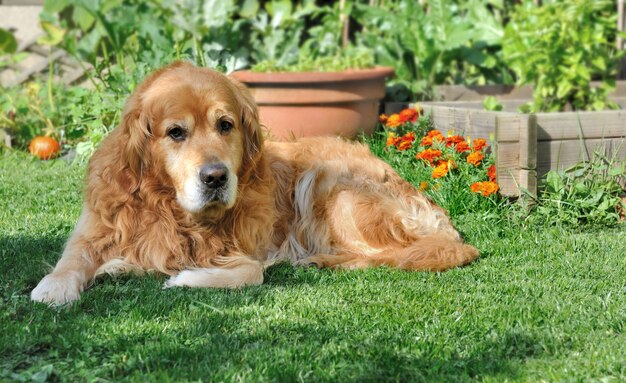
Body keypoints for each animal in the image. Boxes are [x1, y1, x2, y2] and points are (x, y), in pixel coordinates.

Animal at [30, 62, 478, 306]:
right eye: (176, 132)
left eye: (225, 125)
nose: (215, 177)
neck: (172, 209)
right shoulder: (95, 228)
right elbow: (74, 260)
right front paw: (56, 286)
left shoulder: (252, 250)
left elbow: (250, 273)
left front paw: (186, 278)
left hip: (328, 183)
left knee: (384, 255)